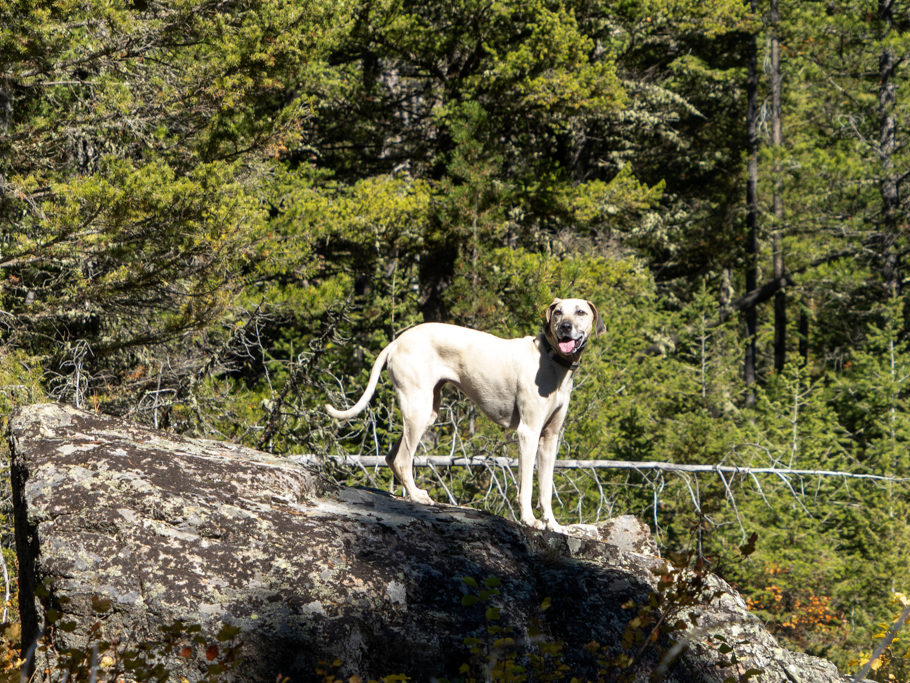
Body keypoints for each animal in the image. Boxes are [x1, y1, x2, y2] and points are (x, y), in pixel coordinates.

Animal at [328, 300, 604, 536]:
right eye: (558, 312)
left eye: (580, 312)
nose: (565, 327)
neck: (551, 359)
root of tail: (397, 342)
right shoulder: (529, 432)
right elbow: (526, 486)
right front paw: (529, 519)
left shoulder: (549, 438)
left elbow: (546, 489)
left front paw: (553, 524)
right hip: (418, 409)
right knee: (402, 459)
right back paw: (417, 496)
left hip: (427, 411)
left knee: (391, 456)